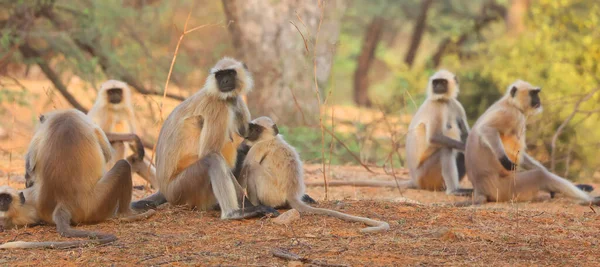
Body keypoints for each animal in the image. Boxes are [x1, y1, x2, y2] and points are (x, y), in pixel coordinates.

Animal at [0, 110, 155, 250]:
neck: (63, 114)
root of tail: (62, 203)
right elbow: (106, 153)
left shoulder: (40, 133)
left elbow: (29, 171)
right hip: (95, 205)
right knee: (123, 165)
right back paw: (127, 215)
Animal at [132, 57, 278, 219]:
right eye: (219, 75)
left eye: (230, 73)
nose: (225, 81)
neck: (226, 100)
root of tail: (165, 190)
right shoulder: (217, 106)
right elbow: (210, 152)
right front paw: (250, 206)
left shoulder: (237, 102)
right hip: (181, 189)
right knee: (212, 159)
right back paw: (233, 213)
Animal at [308, 70, 472, 196]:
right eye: (435, 83)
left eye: (442, 82)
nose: (437, 87)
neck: (444, 101)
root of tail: (415, 179)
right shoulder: (435, 106)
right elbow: (434, 137)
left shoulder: (456, 105)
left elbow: (466, 135)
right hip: (426, 175)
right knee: (446, 149)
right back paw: (453, 190)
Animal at [458, 80, 596, 207]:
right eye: (533, 93)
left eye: (537, 93)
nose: (538, 99)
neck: (511, 103)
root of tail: (479, 190)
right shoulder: (510, 114)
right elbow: (485, 128)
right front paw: (505, 161)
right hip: (504, 188)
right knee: (540, 176)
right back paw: (592, 200)